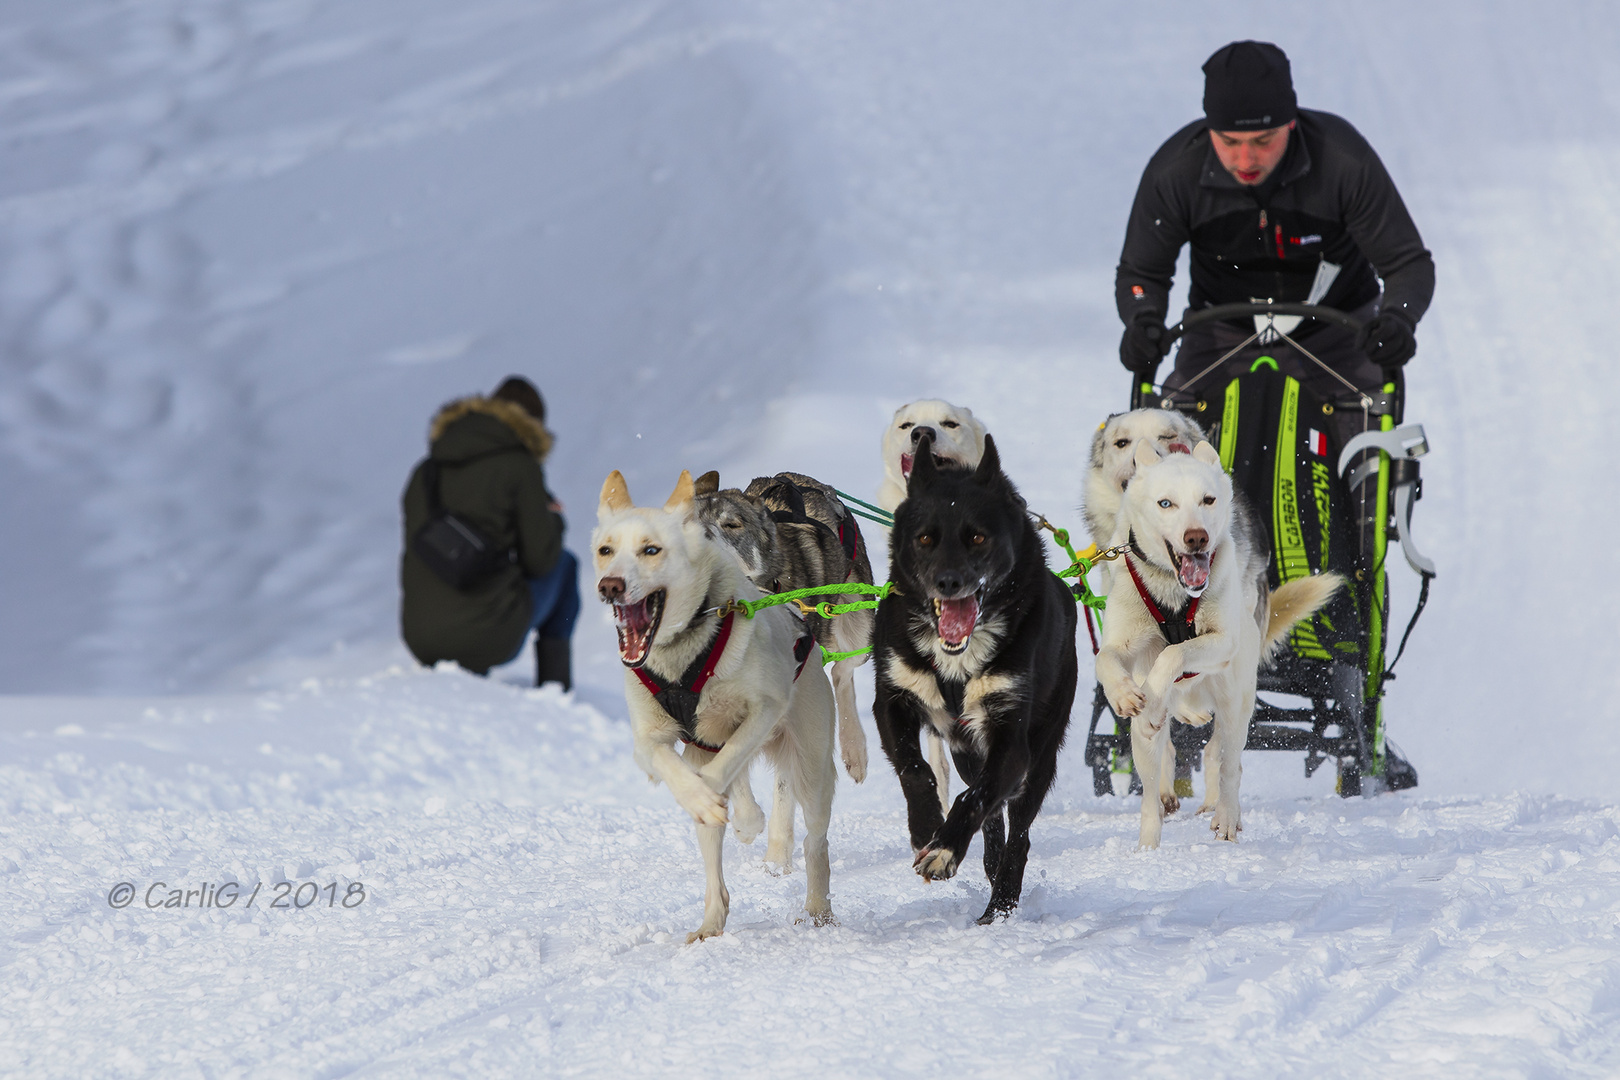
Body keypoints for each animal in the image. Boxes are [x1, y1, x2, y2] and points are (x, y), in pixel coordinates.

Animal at [589, 469, 835, 939]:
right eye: (605, 550)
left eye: (651, 549)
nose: (609, 585)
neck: (681, 653)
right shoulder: (650, 741)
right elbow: (674, 768)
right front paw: (703, 799)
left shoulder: (765, 709)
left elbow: (726, 766)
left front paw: (722, 802)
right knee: (715, 870)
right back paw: (712, 921)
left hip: (811, 769)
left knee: (816, 841)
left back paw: (817, 909)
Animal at [874, 433, 1075, 926]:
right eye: (926, 538)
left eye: (978, 537)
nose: (948, 581)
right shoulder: (892, 700)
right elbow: (915, 769)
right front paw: (927, 826)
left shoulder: (1011, 740)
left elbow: (976, 798)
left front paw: (945, 849)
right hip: (967, 752)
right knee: (991, 815)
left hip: (1039, 758)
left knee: (1017, 830)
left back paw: (1000, 904)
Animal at [1095, 443, 1347, 848]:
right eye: (1165, 503)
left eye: (1208, 500)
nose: (1196, 537)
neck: (1174, 593)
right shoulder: (1124, 640)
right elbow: (1105, 659)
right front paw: (1124, 694)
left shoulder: (1221, 642)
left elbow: (1174, 652)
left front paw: (1154, 697)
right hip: (1146, 746)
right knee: (1153, 785)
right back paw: (1148, 845)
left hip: (1235, 708)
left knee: (1227, 763)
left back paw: (1226, 817)